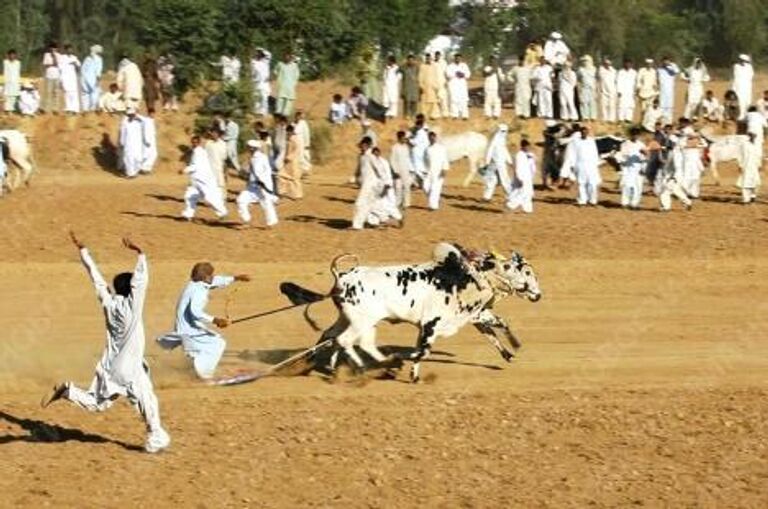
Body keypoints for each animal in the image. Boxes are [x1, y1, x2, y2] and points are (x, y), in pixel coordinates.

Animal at [284, 243, 544, 380]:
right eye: (526, 272)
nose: (538, 295)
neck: (467, 276)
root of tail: (343, 277)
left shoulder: (472, 315)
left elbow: (496, 327)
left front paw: (511, 352)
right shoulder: (432, 325)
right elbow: (423, 351)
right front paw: (411, 371)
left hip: (350, 319)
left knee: (333, 336)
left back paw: (329, 366)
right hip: (362, 322)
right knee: (346, 341)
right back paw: (371, 366)